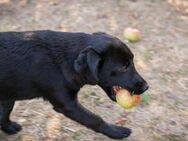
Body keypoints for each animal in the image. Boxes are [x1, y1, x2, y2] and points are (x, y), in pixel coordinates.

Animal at [0, 30, 148, 139]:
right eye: (123, 66)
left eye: (132, 61)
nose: (146, 86)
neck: (66, 60)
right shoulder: (69, 106)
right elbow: (95, 119)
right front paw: (116, 132)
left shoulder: (8, 97)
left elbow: (4, 113)